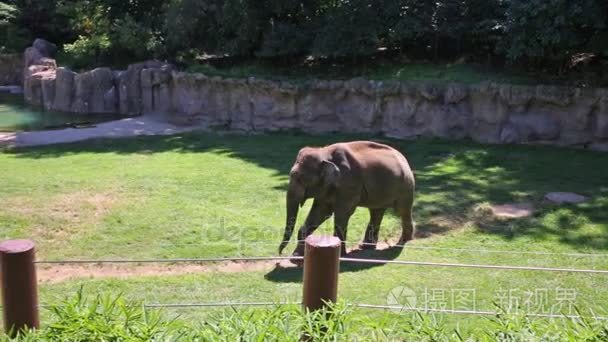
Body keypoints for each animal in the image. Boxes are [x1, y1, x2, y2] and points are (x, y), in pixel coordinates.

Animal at [278, 140, 416, 256]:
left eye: (300, 179)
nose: (279, 252)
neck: (323, 152)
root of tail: (404, 158)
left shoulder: (348, 184)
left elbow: (342, 213)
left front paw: (340, 255)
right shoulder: (326, 187)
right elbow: (321, 211)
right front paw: (297, 256)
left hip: (406, 187)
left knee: (402, 211)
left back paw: (402, 242)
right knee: (376, 211)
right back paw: (366, 247)